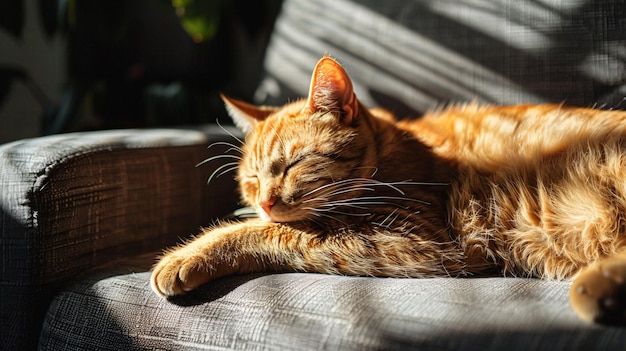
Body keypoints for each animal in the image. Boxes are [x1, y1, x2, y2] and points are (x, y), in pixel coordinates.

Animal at [150, 55, 624, 328]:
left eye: (292, 165)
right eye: (251, 180)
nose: (265, 202)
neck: (394, 153)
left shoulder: (418, 241)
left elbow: (276, 232)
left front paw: (186, 256)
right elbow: (277, 228)